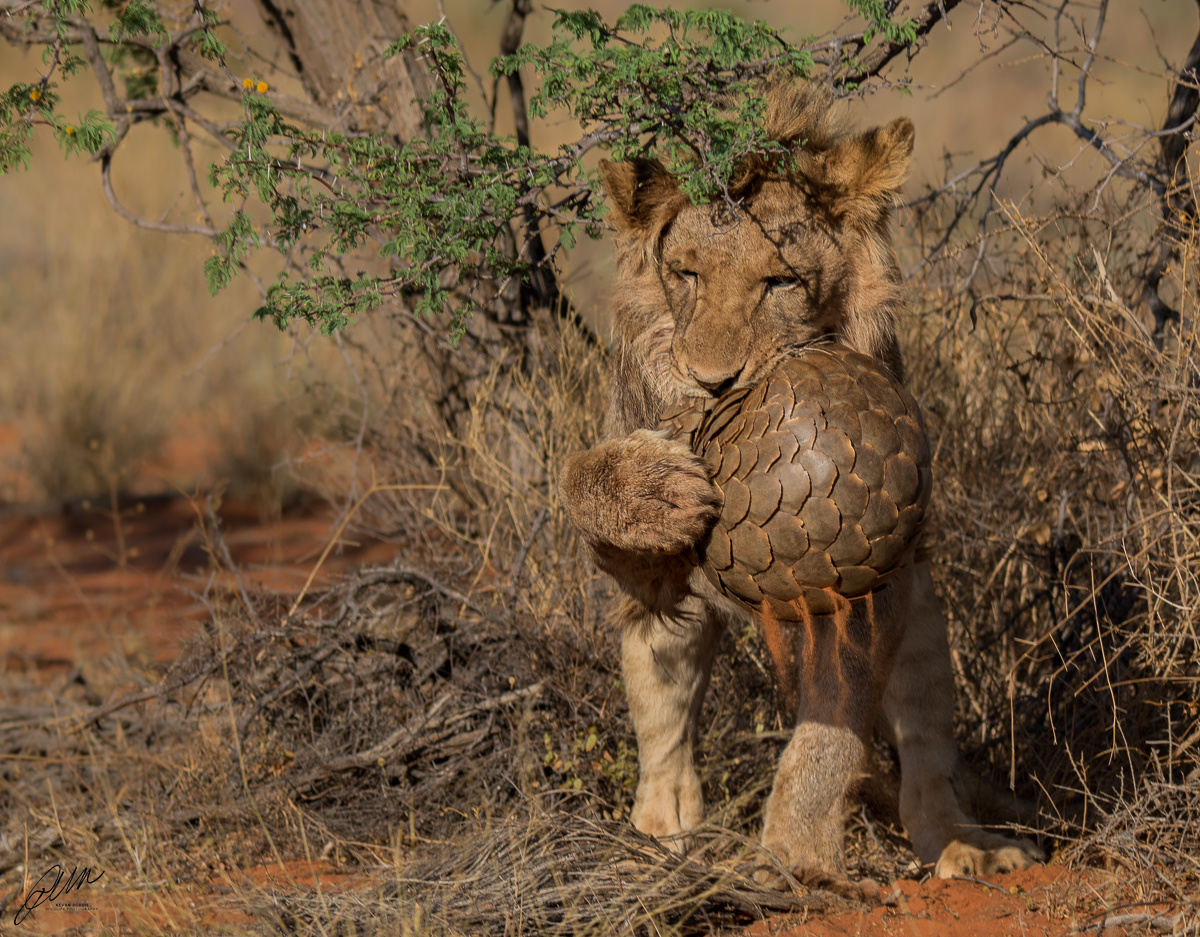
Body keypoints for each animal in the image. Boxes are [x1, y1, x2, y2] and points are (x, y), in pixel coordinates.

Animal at [561, 80, 1041, 883]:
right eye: (686, 273)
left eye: (781, 281)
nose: (713, 380)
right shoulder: (644, 574)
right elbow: (582, 479)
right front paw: (658, 489)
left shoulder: (868, 579)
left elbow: (832, 730)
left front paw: (792, 855)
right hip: (668, 639)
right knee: (662, 728)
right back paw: (657, 839)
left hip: (924, 619)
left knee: (926, 760)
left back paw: (964, 844)